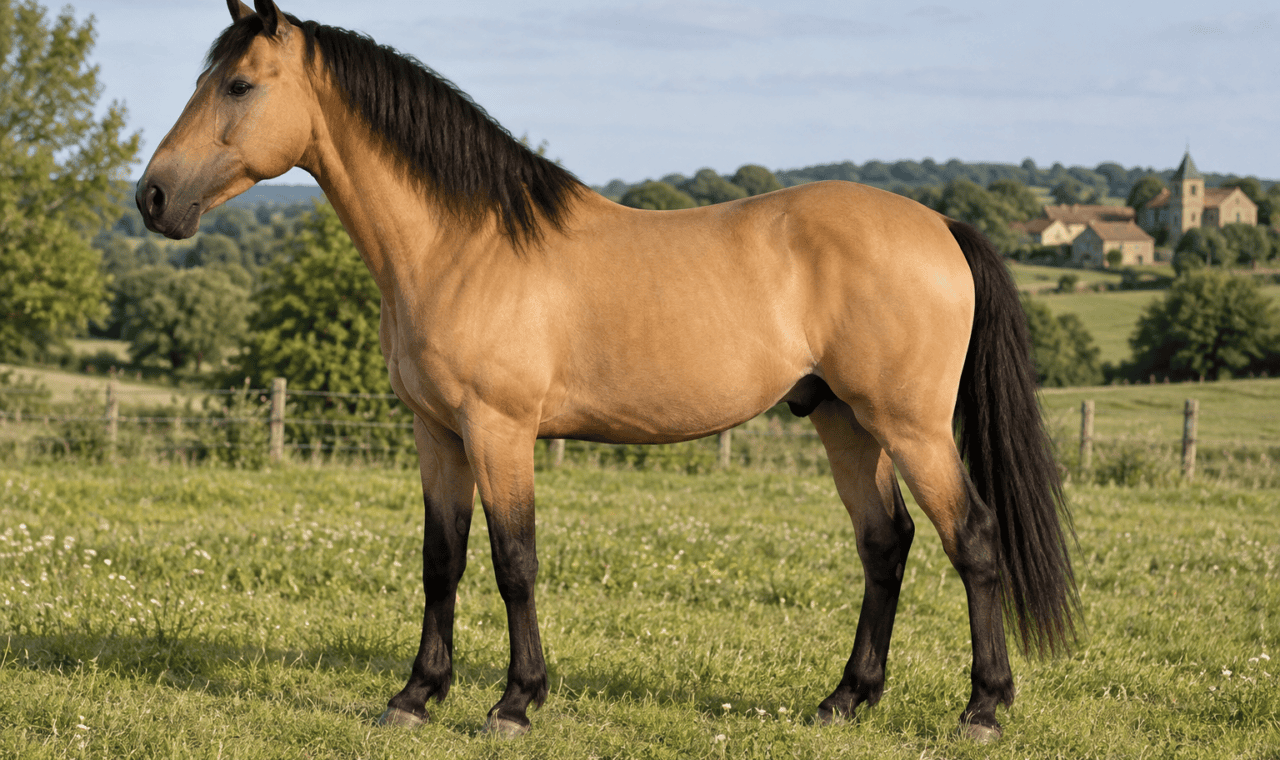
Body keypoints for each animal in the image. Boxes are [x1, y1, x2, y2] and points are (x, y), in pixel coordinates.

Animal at [136, 0, 1077, 741]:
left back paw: (983, 709)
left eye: (239, 85)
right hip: (845, 421)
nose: (152, 197)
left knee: (973, 540)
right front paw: (415, 695)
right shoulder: (436, 431)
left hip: (910, 427)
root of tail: (940, 224)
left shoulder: (499, 429)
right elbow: (443, 559)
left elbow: (514, 561)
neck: (462, 246)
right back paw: (844, 701)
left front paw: (515, 703)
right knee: (886, 546)